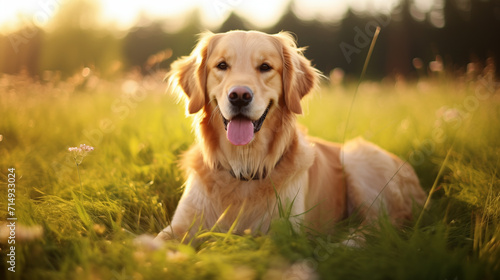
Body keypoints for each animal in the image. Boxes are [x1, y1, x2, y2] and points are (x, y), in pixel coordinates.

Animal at [157, 30, 426, 241]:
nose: (240, 96)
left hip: (357, 158)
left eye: (265, 67)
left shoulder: (283, 233)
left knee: (378, 229)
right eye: (222, 65)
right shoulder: (178, 227)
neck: (244, 167)